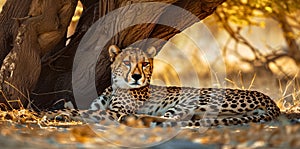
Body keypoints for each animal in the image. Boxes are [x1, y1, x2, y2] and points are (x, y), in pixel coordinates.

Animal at [43, 44, 280, 127]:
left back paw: (137, 120)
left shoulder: (113, 111)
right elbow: (81, 109)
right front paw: (56, 111)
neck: (117, 87)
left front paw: (55, 115)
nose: (136, 76)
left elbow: (83, 112)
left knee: (174, 120)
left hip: (194, 99)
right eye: (127, 62)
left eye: (145, 63)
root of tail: (271, 100)